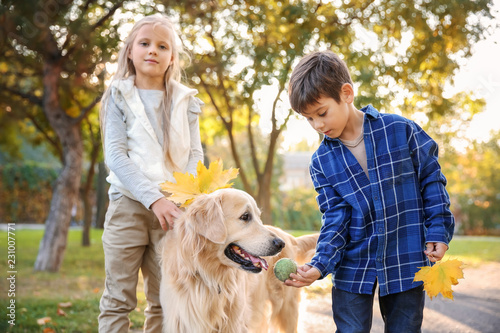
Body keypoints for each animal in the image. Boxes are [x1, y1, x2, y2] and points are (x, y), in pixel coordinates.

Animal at [158, 187, 318, 332]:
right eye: (245, 216)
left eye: (259, 217)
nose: (280, 244)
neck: (209, 276)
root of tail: (289, 237)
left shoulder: (234, 323)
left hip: (287, 311)